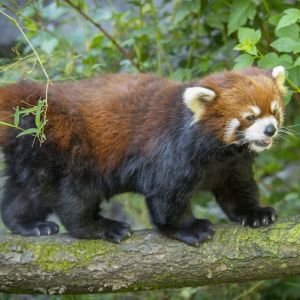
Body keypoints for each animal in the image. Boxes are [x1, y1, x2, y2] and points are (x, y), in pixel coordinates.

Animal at [0, 67, 286, 245]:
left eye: (274, 111)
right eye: (249, 117)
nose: (270, 129)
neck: (219, 152)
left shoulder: (232, 164)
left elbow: (238, 189)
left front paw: (255, 213)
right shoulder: (169, 152)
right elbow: (166, 197)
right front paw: (189, 228)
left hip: (35, 151)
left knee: (28, 191)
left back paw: (27, 224)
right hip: (70, 149)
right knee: (73, 196)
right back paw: (100, 226)